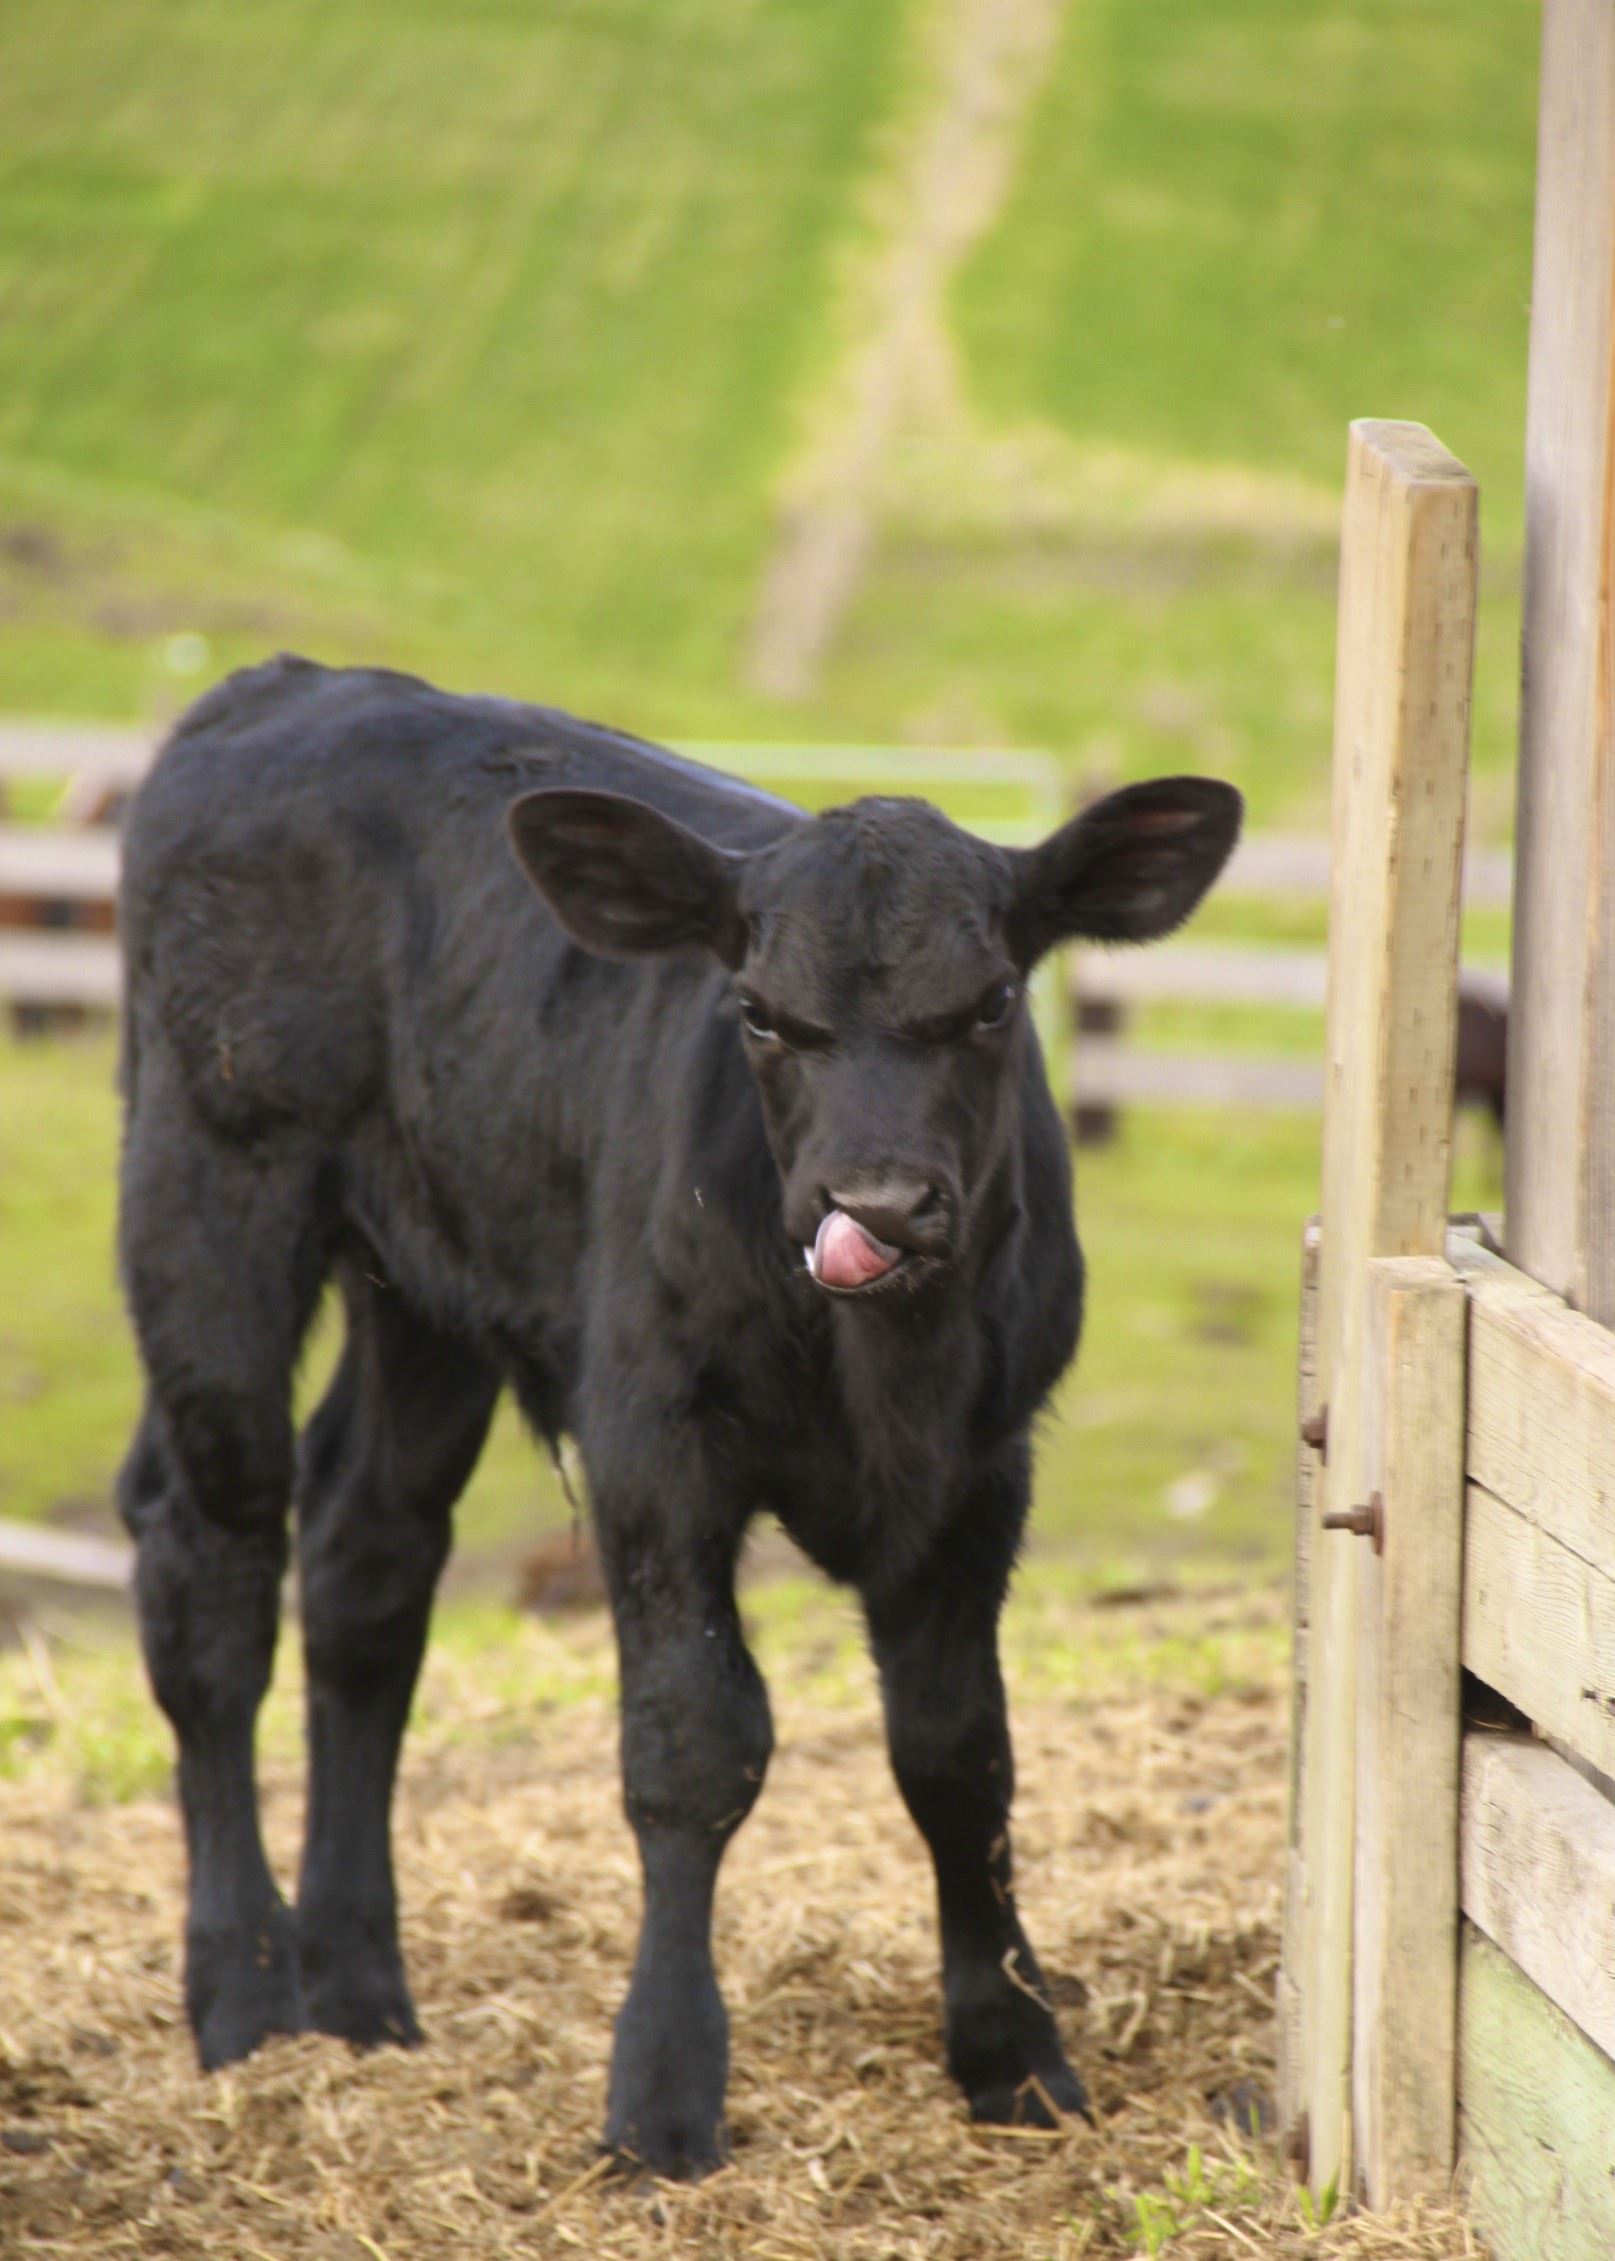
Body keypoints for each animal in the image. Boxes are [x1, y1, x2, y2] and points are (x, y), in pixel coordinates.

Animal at [114, 654, 1241, 2179]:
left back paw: (358, 1986)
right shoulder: (651, 1439)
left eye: (993, 1001)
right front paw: (660, 2090)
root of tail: (293, 684)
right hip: (214, 1191)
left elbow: (958, 1753)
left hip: (425, 1276)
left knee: (367, 1560)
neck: (880, 1371)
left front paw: (1012, 2049)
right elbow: (693, 1740)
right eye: (759, 1011)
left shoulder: (977, 1471)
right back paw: (241, 1989)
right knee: (215, 1570)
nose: (878, 1205)